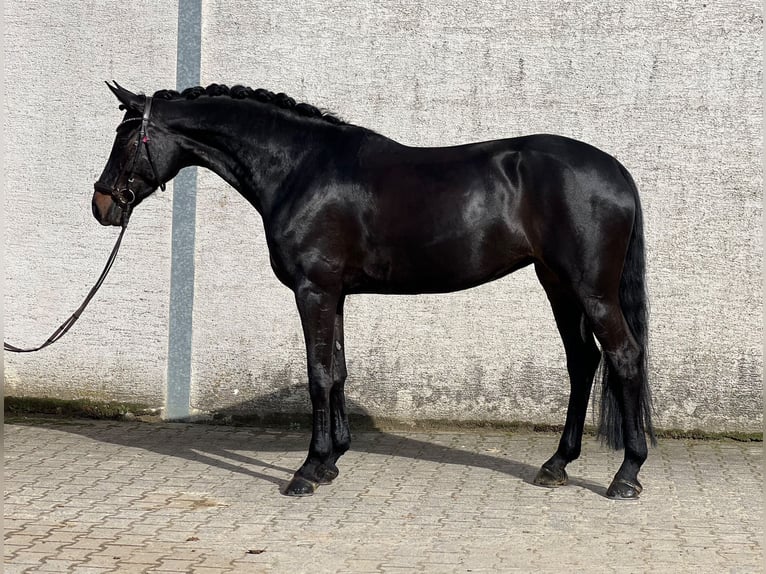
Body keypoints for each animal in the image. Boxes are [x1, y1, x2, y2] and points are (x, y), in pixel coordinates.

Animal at [96, 83, 656, 502]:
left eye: (125, 136)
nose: (102, 205)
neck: (300, 169)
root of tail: (616, 170)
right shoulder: (335, 294)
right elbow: (338, 370)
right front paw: (332, 461)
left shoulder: (313, 291)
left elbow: (319, 374)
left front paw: (307, 471)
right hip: (557, 285)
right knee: (583, 362)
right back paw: (557, 464)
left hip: (591, 289)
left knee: (624, 356)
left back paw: (626, 475)